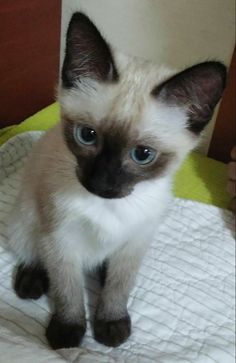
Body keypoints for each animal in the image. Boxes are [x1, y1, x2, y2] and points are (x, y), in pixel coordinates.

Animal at [7, 12, 226, 352]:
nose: (101, 183)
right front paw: (67, 335)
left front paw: (110, 325)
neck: (108, 208)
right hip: (28, 218)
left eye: (143, 155)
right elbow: (68, 291)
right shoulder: (61, 241)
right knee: (31, 251)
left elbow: (118, 287)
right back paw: (31, 282)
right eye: (87, 136)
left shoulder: (134, 243)